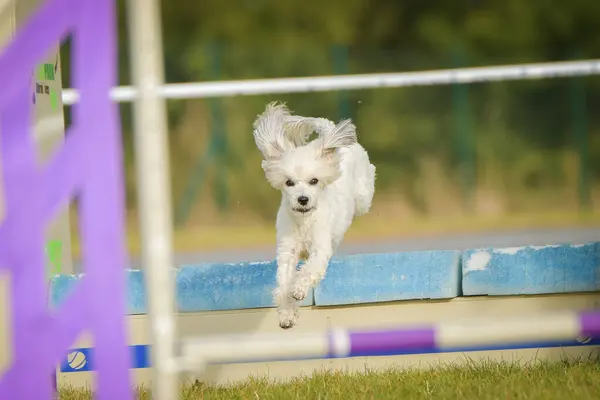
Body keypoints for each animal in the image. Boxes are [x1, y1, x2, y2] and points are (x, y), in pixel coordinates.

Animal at [252, 101, 376, 328]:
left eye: (314, 181)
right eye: (289, 182)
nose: (303, 199)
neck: (304, 221)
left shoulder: (320, 249)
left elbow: (308, 271)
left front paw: (298, 289)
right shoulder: (287, 251)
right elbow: (284, 284)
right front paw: (287, 313)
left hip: (363, 196)